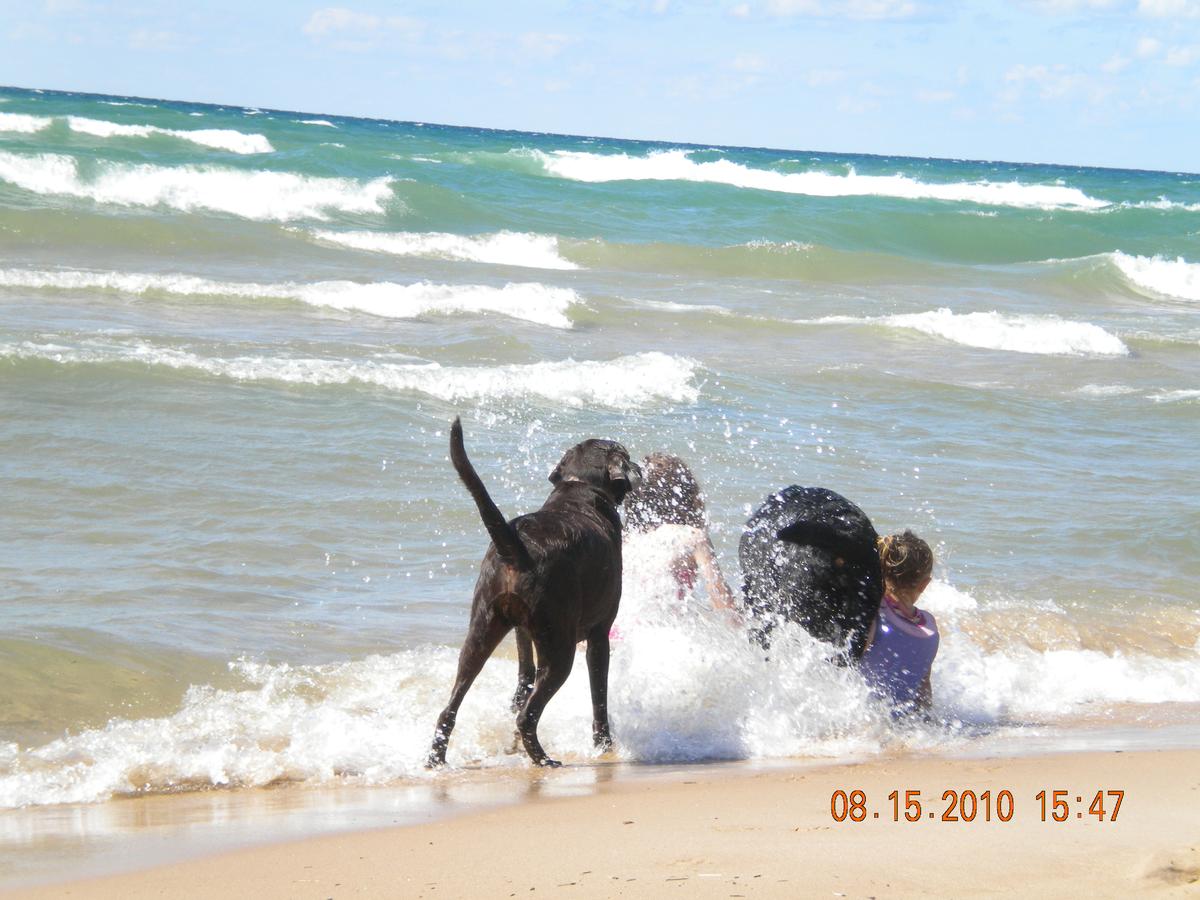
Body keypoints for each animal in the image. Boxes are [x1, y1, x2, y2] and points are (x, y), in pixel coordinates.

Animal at [427, 422, 643, 768]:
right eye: (625, 454)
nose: (639, 468)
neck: (580, 488)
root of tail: (518, 545)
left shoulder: (521, 630)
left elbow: (523, 676)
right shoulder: (600, 634)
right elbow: (599, 696)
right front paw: (604, 744)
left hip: (481, 630)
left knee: (450, 708)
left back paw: (436, 759)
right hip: (560, 648)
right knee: (528, 716)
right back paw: (543, 759)